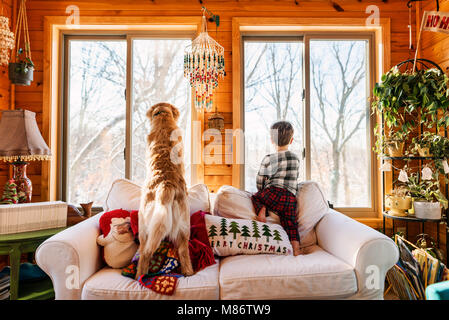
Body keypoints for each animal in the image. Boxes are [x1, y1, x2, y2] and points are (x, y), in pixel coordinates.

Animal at [136, 103, 193, 280]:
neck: (163, 117)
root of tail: (166, 185)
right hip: (184, 227)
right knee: (184, 252)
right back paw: (188, 272)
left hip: (144, 226)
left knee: (145, 252)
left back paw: (139, 275)